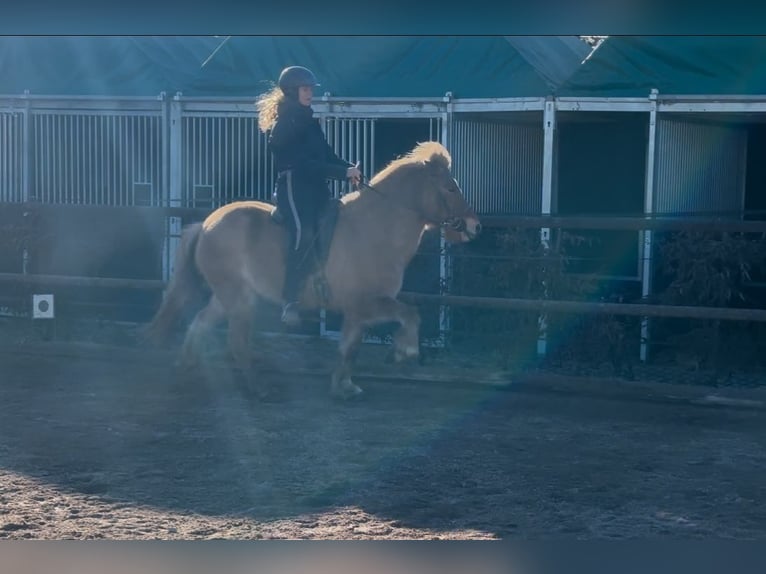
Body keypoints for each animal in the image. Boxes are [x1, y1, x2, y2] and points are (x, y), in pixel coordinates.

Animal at [147, 141, 484, 400]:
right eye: (450, 188)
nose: (474, 226)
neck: (375, 228)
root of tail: (206, 224)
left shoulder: (357, 311)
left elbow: (350, 347)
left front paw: (344, 386)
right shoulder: (366, 302)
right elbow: (409, 314)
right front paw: (405, 352)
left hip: (227, 295)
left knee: (200, 324)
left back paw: (185, 372)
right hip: (238, 298)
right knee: (236, 341)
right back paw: (259, 389)